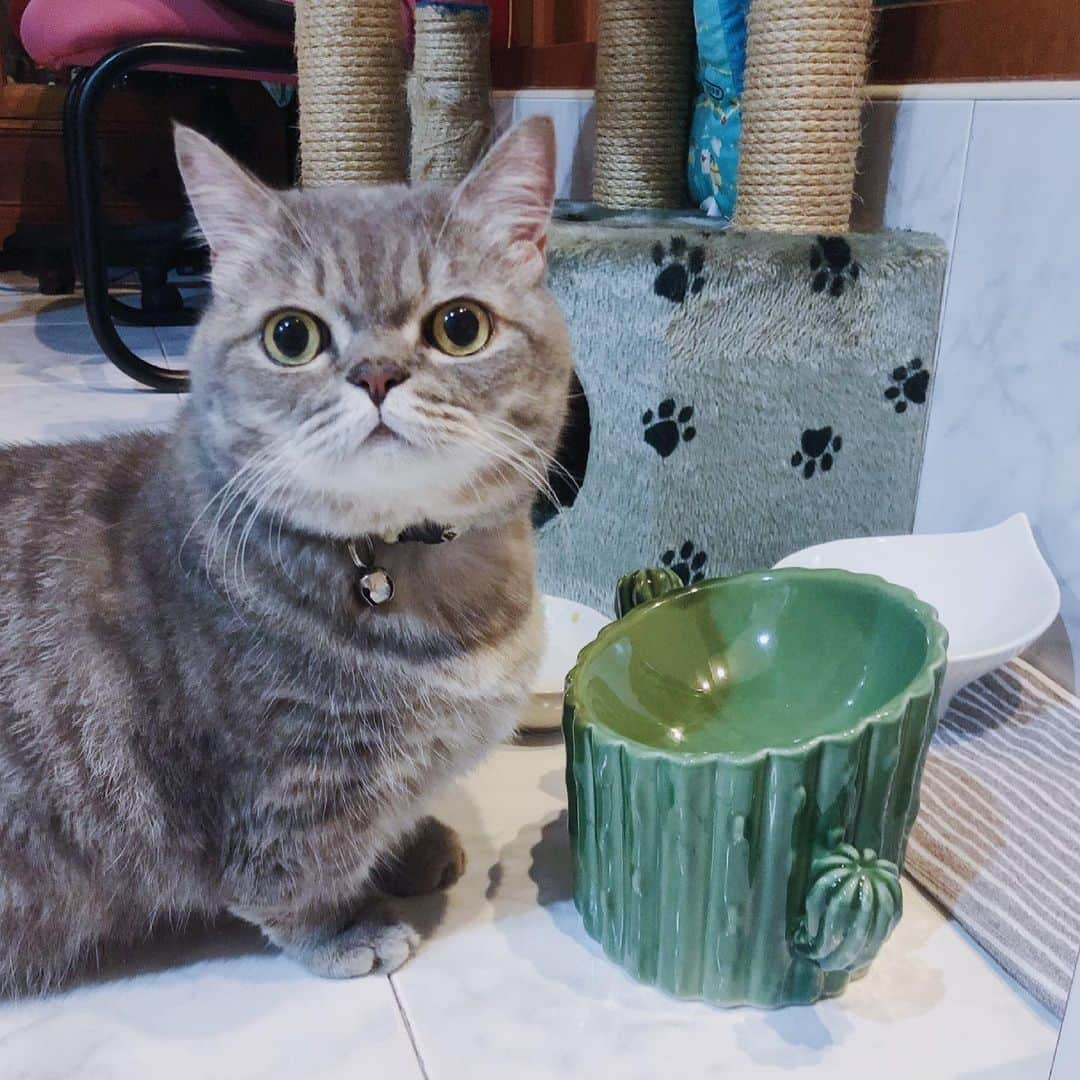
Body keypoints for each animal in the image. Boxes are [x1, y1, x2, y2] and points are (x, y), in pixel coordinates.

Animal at [0, 118, 574, 993]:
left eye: (460, 326)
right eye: (291, 336)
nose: (377, 373)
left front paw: (414, 845)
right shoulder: (290, 789)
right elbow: (296, 878)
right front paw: (349, 928)